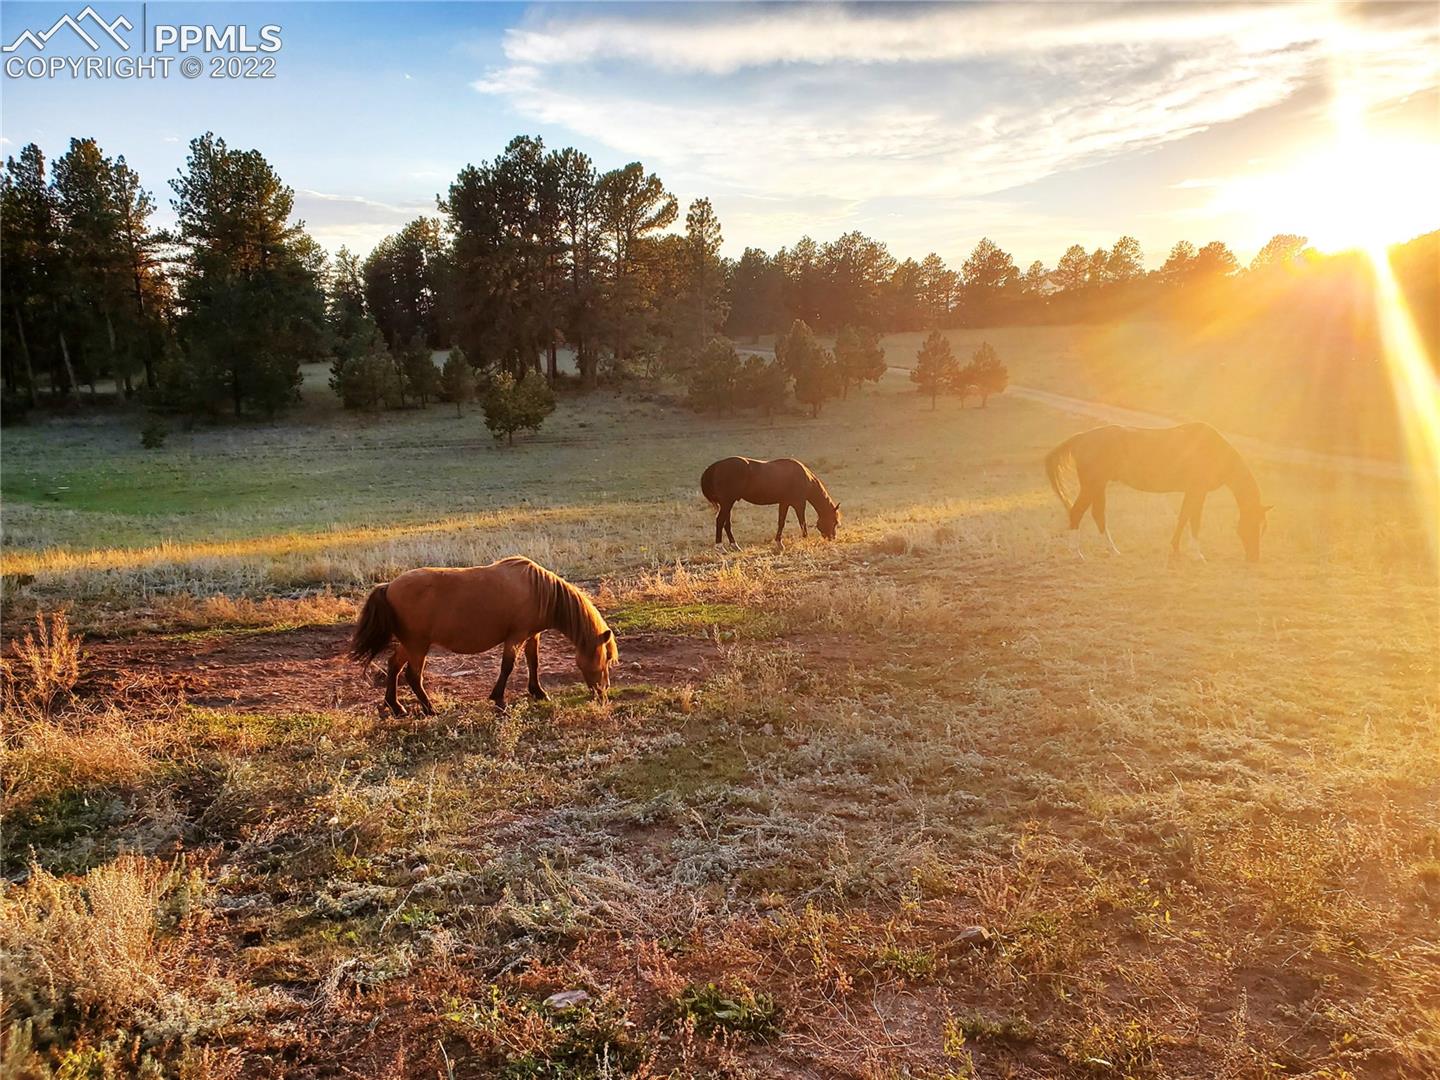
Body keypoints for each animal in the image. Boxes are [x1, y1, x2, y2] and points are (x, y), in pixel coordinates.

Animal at [349, 556, 618, 715]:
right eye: (605, 659)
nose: (603, 692)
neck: (539, 591)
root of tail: (388, 586)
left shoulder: (532, 636)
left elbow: (534, 663)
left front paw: (539, 693)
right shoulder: (516, 636)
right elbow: (508, 666)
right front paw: (499, 701)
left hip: (411, 643)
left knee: (394, 666)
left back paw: (395, 707)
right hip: (418, 645)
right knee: (413, 676)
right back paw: (430, 709)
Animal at [700, 456, 841, 548]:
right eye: (834, 521)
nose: (832, 537)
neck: (805, 478)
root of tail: (716, 466)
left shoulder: (784, 503)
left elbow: (781, 522)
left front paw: (779, 543)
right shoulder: (799, 503)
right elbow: (802, 522)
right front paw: (805, 539)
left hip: (727, 503)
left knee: (726, 523)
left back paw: (734, 545)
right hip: (727, 502)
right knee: (720, 521)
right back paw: (720, 547)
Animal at [1044, 422, 1271, 562]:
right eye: (1252, 525)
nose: (1254, 559)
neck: (1212, 450)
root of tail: (1081, 437)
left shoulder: (1191, 492)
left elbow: (1183, 518)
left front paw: (1176, 549)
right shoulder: (1198, 491)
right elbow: (1194, 521)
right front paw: (1198, 555)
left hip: (1098, 486)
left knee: (1098, 515)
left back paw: (1114, 551)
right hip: (1092, 485)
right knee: (1077, 513)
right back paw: (1077, 554)